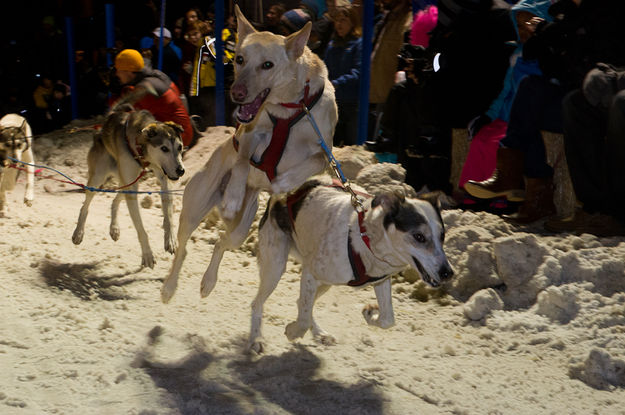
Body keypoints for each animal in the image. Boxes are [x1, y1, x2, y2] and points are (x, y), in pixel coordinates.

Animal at [72, 109, 185, 268]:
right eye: (164, 148)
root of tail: (99, 132)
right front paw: (147, 254)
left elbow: (169, 216)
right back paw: (78, 232)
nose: (181, 170)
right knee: (85, 206)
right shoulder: (131, 188)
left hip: (131, 183)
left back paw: (114, 228)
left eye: (180, 147)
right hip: (98, 179)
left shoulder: (164, 180)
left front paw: (171, 239)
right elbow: (141, 229)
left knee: (115, 201)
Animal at [160, 4, 336, 306]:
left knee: (220, 241)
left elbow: (313, 161)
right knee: (182, 249)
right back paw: (170, 287)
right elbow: (242, 162)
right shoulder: (250, 134)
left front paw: (283, 183)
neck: (288, 108)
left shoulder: (325, 149)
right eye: (239, 59)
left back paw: (208, 282)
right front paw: (233, 196)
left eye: (267, 65)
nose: (237, 93)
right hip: (194, 212)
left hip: (241, 230)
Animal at [249, 179, 454, 354]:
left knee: (302, 303)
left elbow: (388, 319)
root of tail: (282, 194)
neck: (364, 238)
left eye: (442, 236)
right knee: (258, 303)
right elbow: (303, 319)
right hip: (275, 267)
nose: (448, 273)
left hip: (323, 283)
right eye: (419, 236)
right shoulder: (310, 274)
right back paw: (256, 339)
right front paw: (293, 332)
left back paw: (319, 334)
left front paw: (370, 314)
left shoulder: (381, 280)